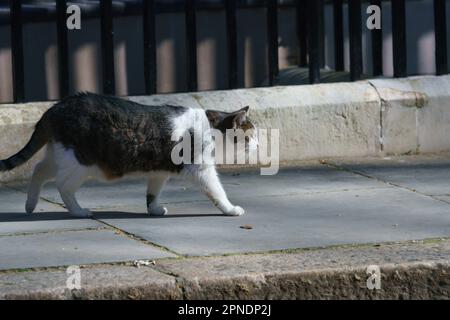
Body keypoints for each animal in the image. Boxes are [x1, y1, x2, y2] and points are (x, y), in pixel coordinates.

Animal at [0, 92, 256, 218]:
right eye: (251, 134)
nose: (257, 144)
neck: (212, 127)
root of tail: (55, 108)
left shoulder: (159, 172)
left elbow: (152, 194)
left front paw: (154, 210)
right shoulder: (202, 170)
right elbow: (217, 192)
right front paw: (231, 209)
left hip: (61, 155)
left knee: (39, 170)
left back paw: (30, 205)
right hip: (80, 163)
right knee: (63, 186)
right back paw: (79, 211)